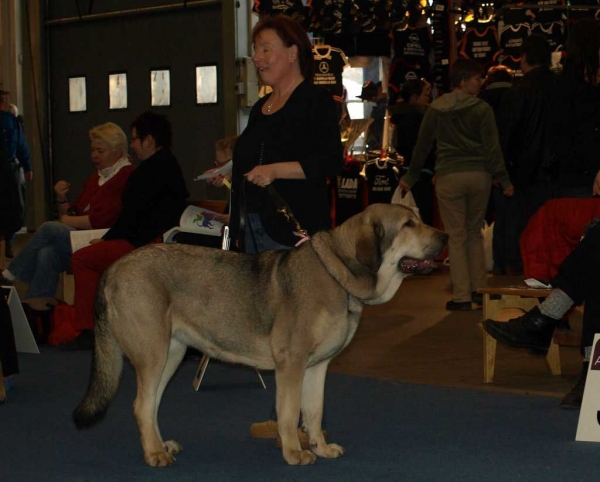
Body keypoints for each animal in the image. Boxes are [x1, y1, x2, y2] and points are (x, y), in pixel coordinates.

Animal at [74, 203, 446, 466]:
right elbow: (289, 412)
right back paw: (154, 455)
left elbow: (314, 411)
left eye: (419, 219)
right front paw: (294, 453)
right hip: (152, 353)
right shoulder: (291, 364)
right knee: (140, 405)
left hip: (172, 353)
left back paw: (160, 445)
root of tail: (113, 269)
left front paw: (321, 448)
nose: (444, 237)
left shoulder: (317, 367)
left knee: (150, 405)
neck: (338, 275)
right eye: (409, 225)